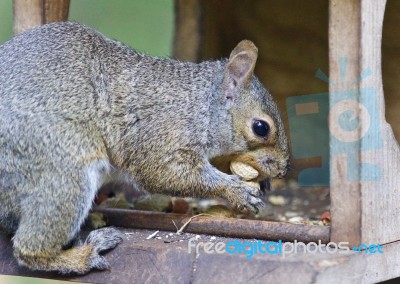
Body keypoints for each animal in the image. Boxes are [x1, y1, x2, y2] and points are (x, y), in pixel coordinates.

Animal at [0, 22, 288, 276]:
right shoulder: (161, 135)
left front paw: (258, 181)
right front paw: (237, 191)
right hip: (63, 170)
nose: (283, 169)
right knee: (29, 250)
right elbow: (165, 173)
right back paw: (84, 255)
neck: (199, 105)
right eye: (261, 127)